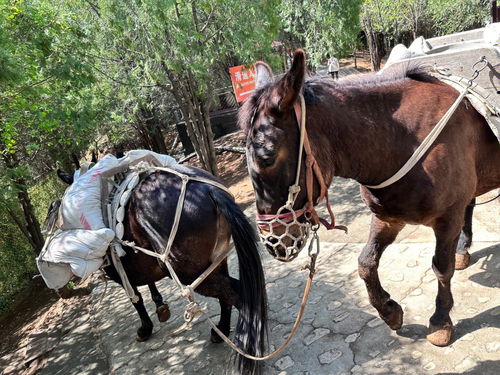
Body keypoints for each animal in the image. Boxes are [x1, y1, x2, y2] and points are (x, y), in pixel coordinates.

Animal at [55, 163, 268, 374]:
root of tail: (208, 189)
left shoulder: (123, 276)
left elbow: (136, 300)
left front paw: (145, 328)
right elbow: (149, 284)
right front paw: (160, 306)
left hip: (189, 274)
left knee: (239, 295)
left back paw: (245, 347)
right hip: (215, 260)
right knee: (228, 295)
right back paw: (221, 330)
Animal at [239, 51, 500, 348]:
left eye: (266, 157)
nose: (272, 241)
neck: (403, 140)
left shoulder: (447, 218)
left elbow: (442, 268)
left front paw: (440, 320)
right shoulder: (388, 217)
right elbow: (365, 263)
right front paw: (389, 310)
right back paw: (463, 248)